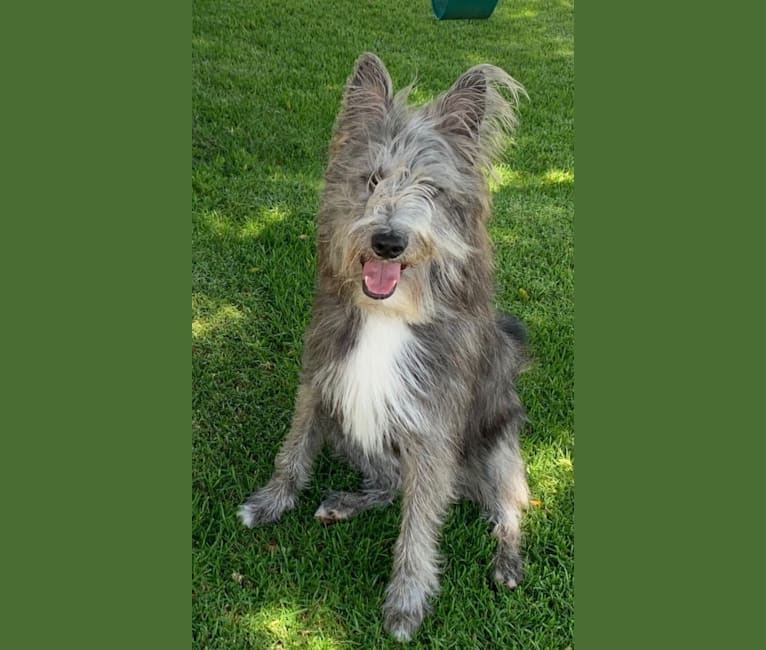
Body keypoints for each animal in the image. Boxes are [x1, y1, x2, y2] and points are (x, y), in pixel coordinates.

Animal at [237, 53, 532, 640]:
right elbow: (293, 451)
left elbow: (419, 528)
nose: (388, 241)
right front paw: (269, 503)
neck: (389, 314)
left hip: (498, 446)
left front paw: (407, 602)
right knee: (391, 483)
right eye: (372, 178)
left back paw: (507, 562)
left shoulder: (433, 431)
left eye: (431, 188)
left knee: (508, 507)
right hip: (354, 430)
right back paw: (347, 503)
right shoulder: (320, 379)